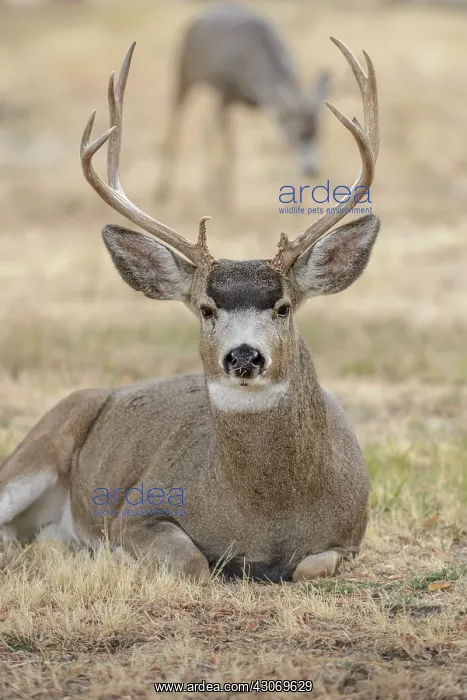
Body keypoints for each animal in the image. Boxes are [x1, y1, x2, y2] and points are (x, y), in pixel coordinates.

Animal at [0, 36, 379, 583]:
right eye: (205, 308)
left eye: (283, 307)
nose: (243, 356)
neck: (266, 517)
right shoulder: (139, 505)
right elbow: (193, 561)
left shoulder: (351, 535)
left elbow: (311, 566)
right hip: (35, 447)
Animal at [155, 2, 331, 208]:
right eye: (299, 135)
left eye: (318, 134)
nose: (312, 171)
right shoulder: (225, 92)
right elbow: (227, 147)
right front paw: (224, 201)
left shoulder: (242, 103)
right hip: (184, 71)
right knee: (180, 123)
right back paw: (164, 190)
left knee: (207, 129)